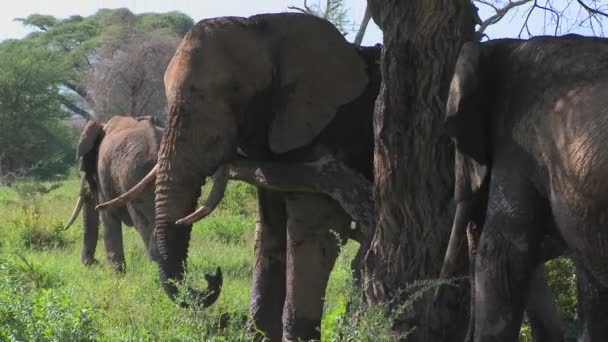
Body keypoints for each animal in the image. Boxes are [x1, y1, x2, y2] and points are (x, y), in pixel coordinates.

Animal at [63, 115, 162, 272]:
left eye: (83, 170)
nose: (92, 262)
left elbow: (107, 216)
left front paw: (116, 273)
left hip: (135, 177)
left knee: (144, 224)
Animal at [97, 12, 382, 340]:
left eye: (233, 92)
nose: (212, 275)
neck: (273, 30)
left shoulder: (326, 139)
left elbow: (313, 232)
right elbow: (269, 230)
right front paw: (258, 334)